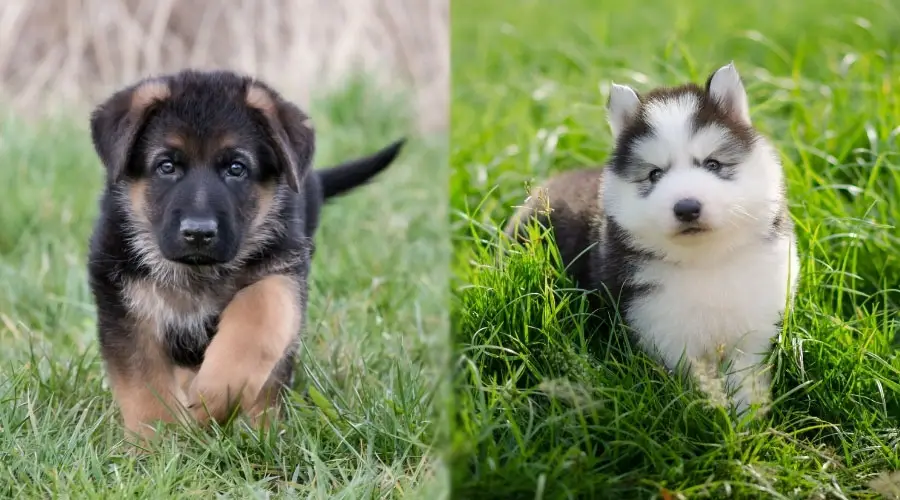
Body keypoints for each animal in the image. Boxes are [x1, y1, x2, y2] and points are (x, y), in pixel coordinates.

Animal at [87, 68, 404, 440]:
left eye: (236, 168)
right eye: (166, 166)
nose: (198, 233)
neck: (197, 274)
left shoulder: (284, 270)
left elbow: (260, 314)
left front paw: (214, 396)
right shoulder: (125, 307)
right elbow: (144, 387)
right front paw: (159, 442)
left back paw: (262, 428)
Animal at [506, 62, 800, 414]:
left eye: (713, 164)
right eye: (655, 174)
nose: (687, 207)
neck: (705, 261)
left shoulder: (753, 328)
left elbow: (746, 379)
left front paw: (747, 419)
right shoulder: (662, 329)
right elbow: (694, 384)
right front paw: (711, 414)